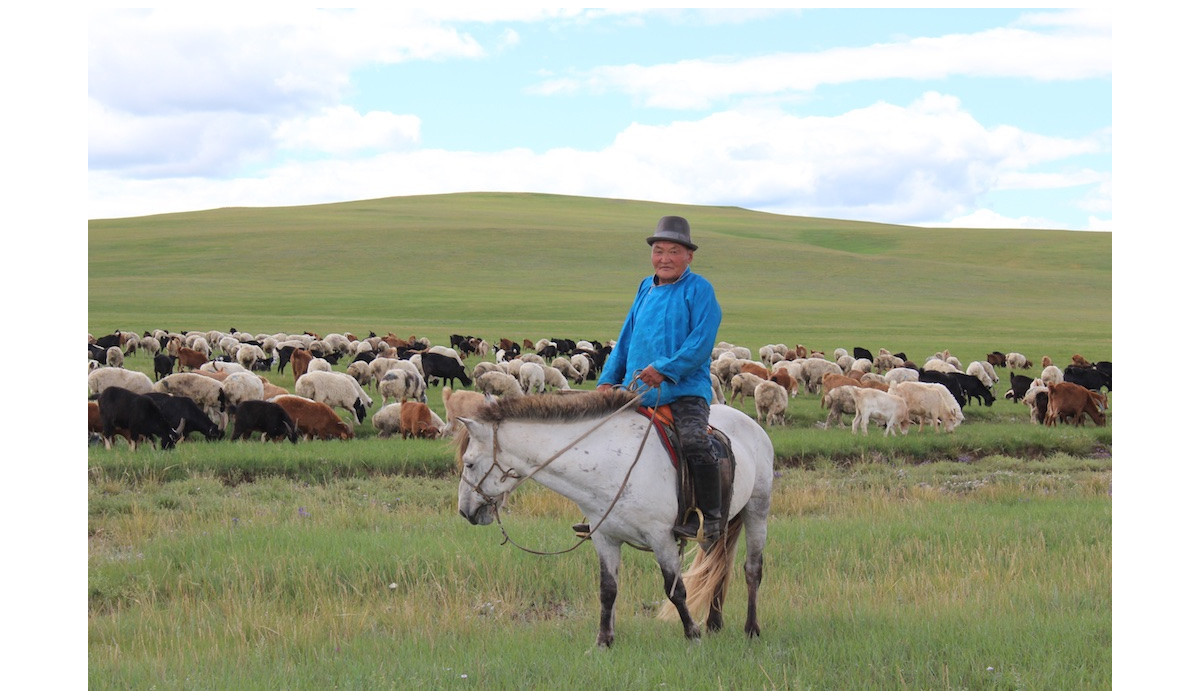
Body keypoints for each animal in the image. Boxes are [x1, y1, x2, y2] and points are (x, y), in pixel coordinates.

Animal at [453, 389, 772, 648]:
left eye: (469, 463)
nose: (465, 510)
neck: (612, 465)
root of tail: (750, 423)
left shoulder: (662, 539)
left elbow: (676, 589)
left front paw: (692, 634)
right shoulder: (605, 538)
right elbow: (608, 590)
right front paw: (604, 640)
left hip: (757, 509)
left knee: (751, 570)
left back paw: (752, 629)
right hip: (720, 527)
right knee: (719, 568)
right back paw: (714, 624)